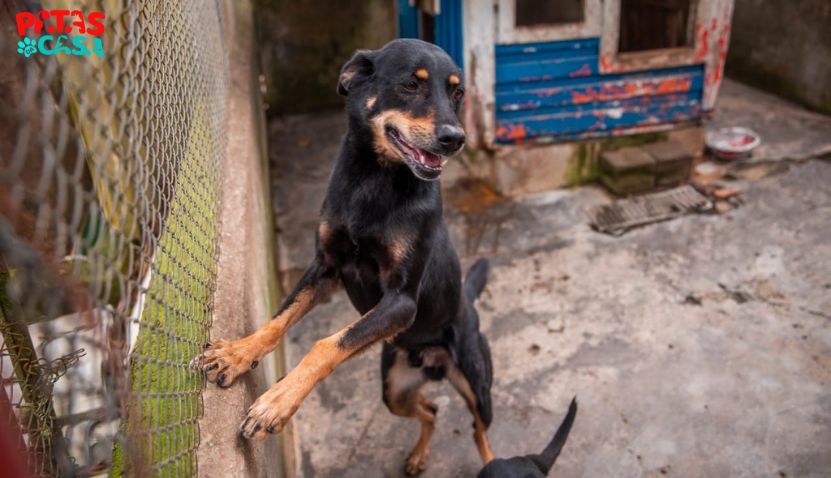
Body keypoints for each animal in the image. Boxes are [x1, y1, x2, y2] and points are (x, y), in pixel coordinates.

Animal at [197, 39, 494, 472]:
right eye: (411, 85)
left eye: (457, 93)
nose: (456, 138)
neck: (375, 181)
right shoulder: (326, 269)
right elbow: (278, 320)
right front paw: (238, 352)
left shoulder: (401, 302)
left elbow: (326, 345)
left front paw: (276, 402)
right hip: (394, 390)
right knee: (431, 410)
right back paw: (419, 455)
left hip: (476, 385)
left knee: (479, 430)